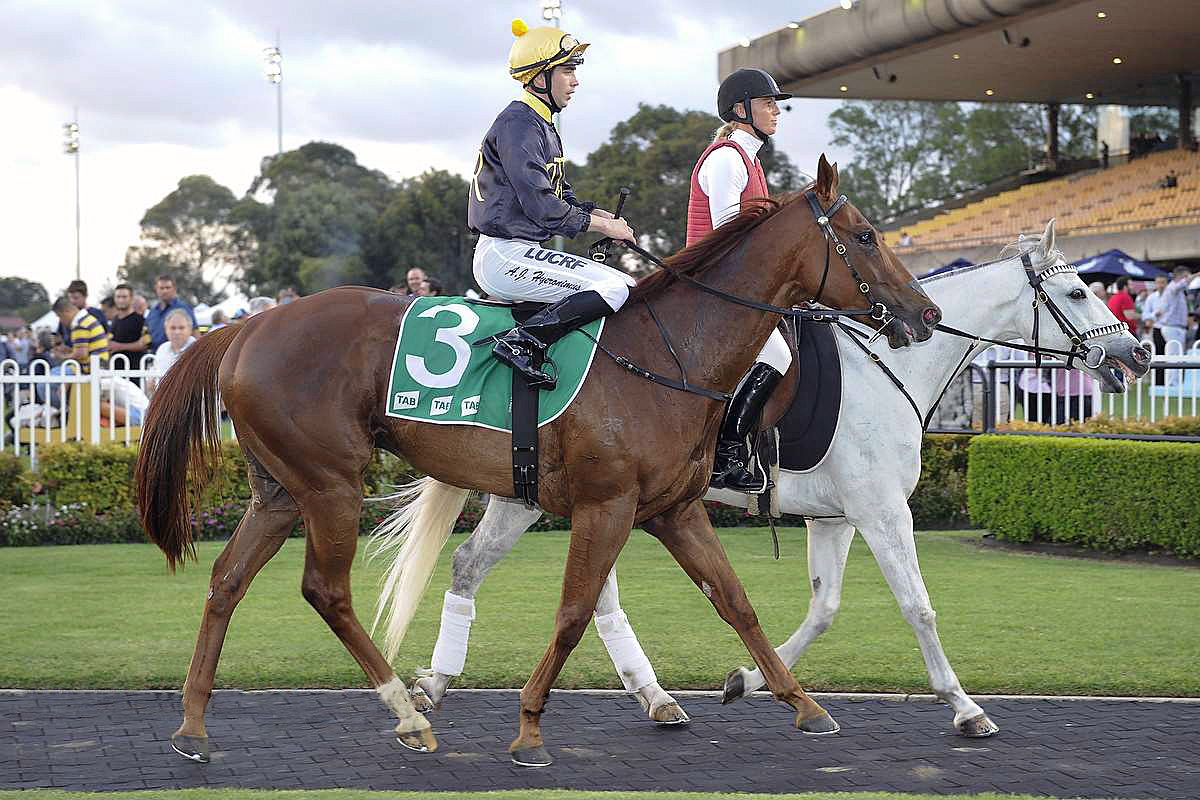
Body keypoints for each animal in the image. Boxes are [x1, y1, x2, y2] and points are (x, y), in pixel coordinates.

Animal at [134, 155, 941, 767]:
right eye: (867, 235)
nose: (924, 313)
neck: (670, 350)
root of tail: (245, 326)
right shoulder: (608, 505)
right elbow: (575, 610)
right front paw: (527, 729)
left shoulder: (672, 510)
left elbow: (734, 601)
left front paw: (800, 703)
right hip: (331, 485)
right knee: (326, 591)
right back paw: (408, 713)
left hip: (279, 491)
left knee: (227, 580)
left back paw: (193, 725)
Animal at [407, 219, 1151, 736]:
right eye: (1078, 291)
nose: (1139, 352)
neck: (891, 367)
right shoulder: (884, 512)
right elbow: (918, 606)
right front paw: (965, 706)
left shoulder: (837, 518)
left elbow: (824, 609)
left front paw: (750, 680)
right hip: (576, 497)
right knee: (512, 574)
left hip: (552, 496)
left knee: (500, 571)